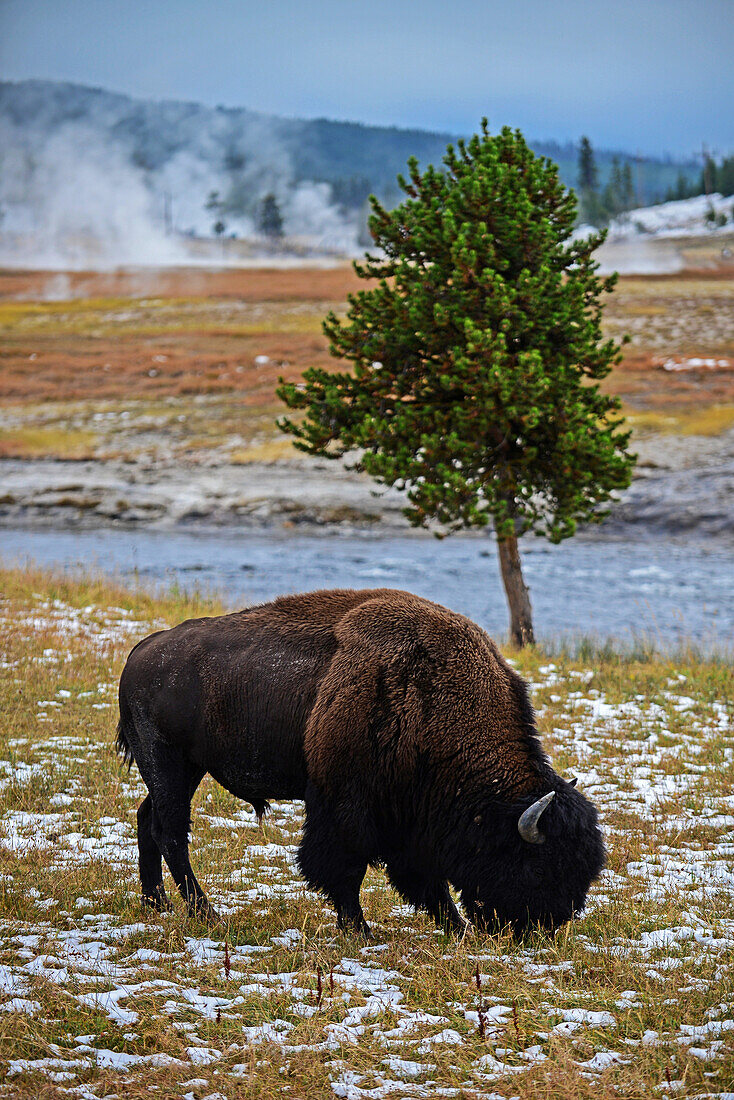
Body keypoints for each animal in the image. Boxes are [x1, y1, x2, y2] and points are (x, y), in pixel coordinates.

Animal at [117, 589, 607, 932]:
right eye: (539, 866)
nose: (544, 927)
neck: (434, 700)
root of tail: (142, 650)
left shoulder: (412, 817)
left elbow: (423, 877)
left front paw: (455, 928)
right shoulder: (347, 806)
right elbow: (345, 867)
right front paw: (359, 929)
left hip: (182, 771)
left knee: (147, 818)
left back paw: (156, 904)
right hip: (168, 762)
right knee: (171, 831)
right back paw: (206, 914)